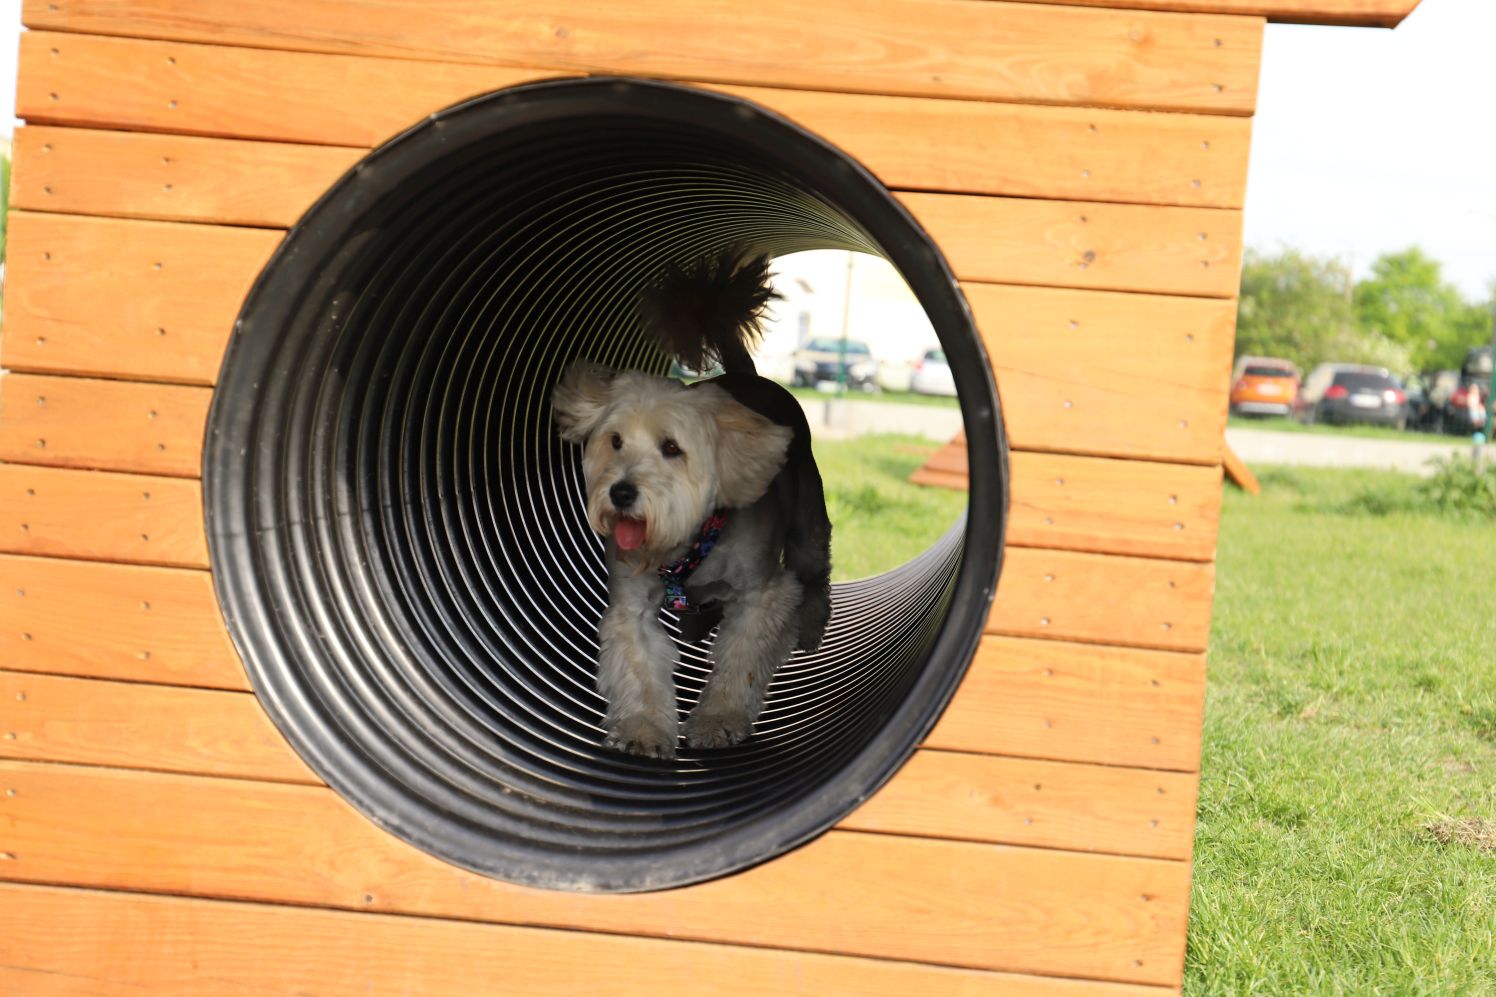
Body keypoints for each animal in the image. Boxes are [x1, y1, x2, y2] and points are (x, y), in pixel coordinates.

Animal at [553, 248, 831, 754]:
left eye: (671, 448)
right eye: (616, 441)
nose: (621, 493)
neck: (688, 546)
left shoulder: (760, 597)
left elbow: (739, 664)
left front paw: (719, 720)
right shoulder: (633, 607)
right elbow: (641, 666)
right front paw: (644, 729)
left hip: (808, 525)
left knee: (815, 574)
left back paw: (811, 625)